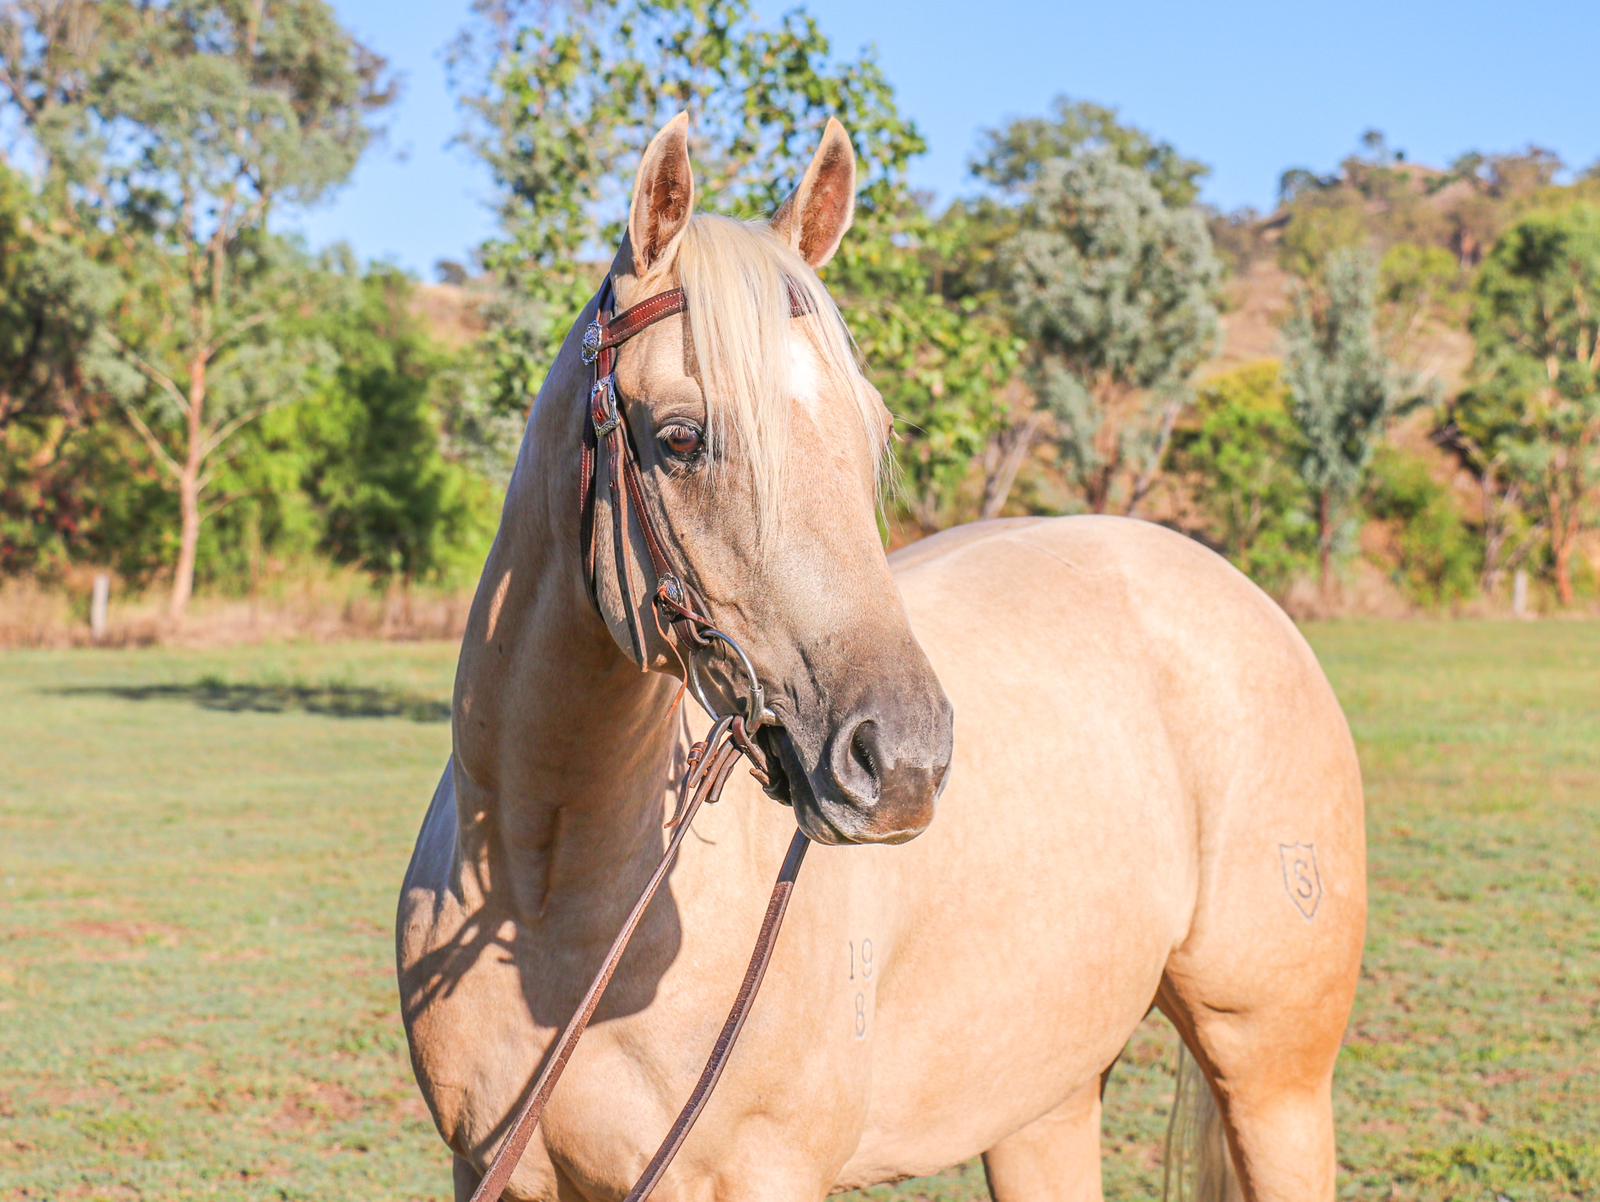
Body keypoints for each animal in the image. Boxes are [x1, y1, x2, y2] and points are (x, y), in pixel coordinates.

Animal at [396, 113, 1366, 1202]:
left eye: (874, 434)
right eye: (680, 436)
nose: (901, 760)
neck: (552, 896)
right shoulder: (489, 1166)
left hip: (1274, 1078)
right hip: (1044, 1098)